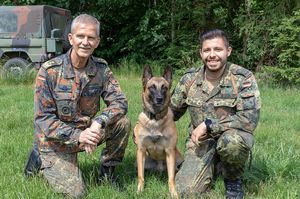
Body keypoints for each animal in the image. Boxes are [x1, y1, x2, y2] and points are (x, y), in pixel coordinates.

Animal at [134, 65, 183, 197]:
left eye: (164, 88)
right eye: (152, 87)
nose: (159, 99)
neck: (155, 120)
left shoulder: (170, 151)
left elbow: (171, 178)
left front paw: (173, 192)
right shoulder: (141, 150)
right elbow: (141, 176)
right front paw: (139, 189)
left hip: (176, 159)